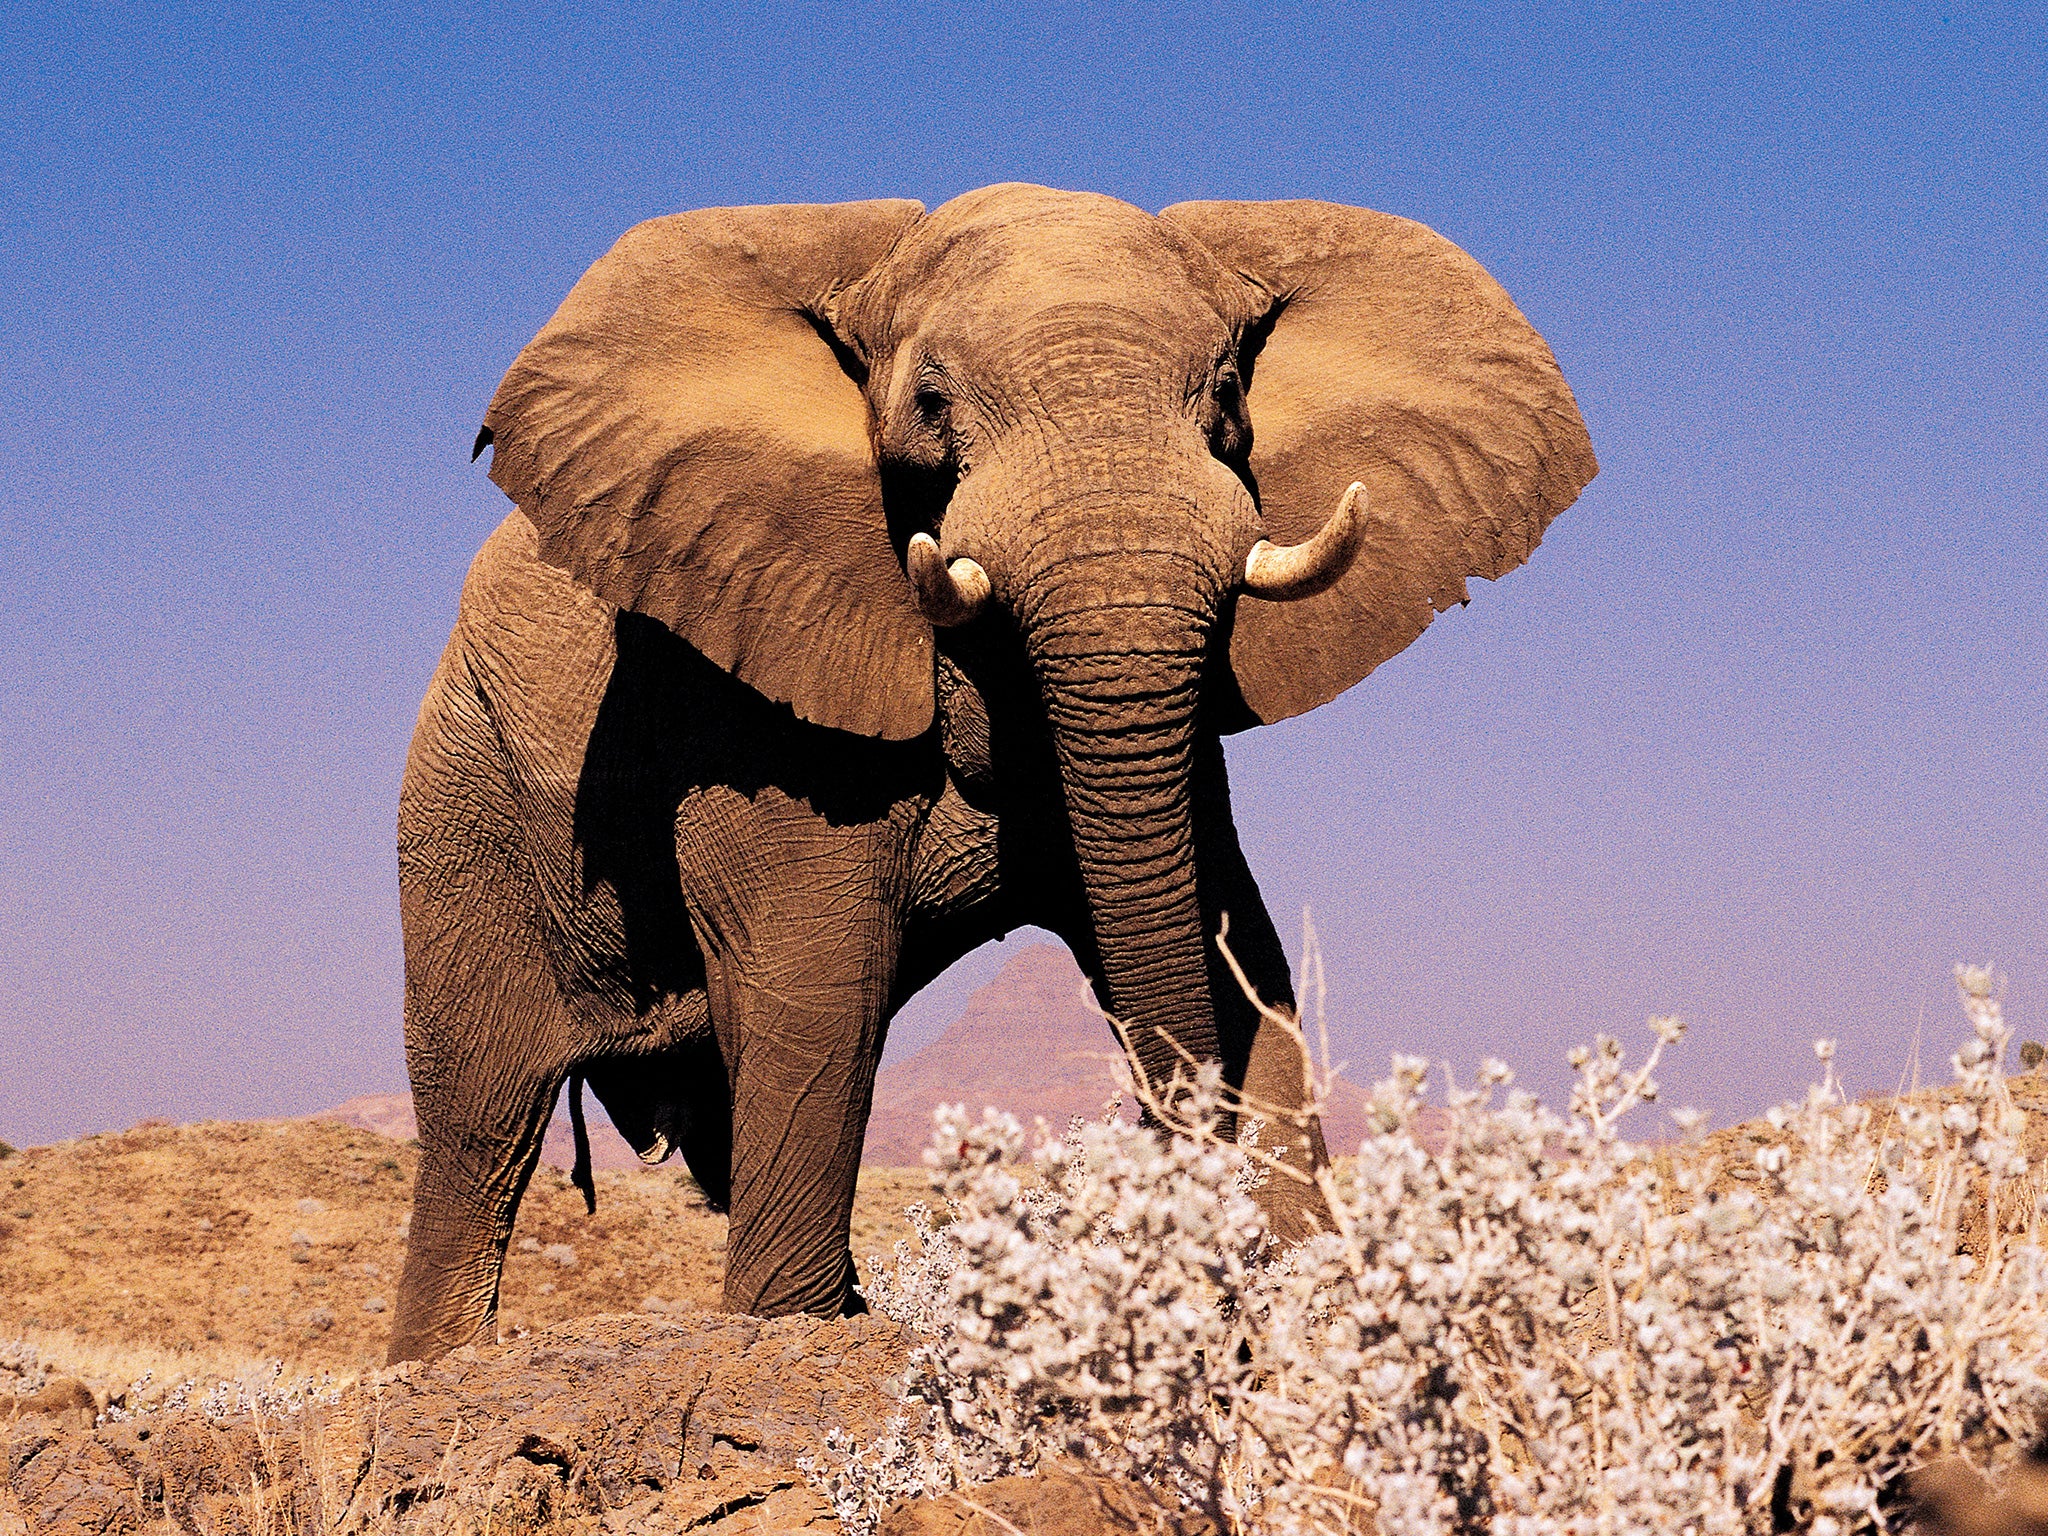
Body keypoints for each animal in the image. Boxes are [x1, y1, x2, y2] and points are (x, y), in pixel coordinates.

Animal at [387, 183, 1597, 1368]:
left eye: (1224, 393)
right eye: (929, 403)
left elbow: (1234, 948)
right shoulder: (752, 687)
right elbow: (819, 985)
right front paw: (793, 1339)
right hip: (461, 802)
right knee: (480, 1126)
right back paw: (433, 1366)